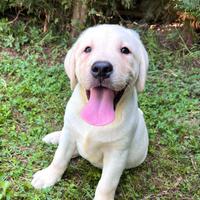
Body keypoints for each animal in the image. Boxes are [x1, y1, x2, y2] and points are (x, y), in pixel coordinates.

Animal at [31, 25, 148, 200]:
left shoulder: (117, 153)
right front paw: (49, 176)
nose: (101, 68)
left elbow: (106, 184)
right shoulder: (69, 133)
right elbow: (59, 157)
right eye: (87, 49)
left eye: (125, 50)